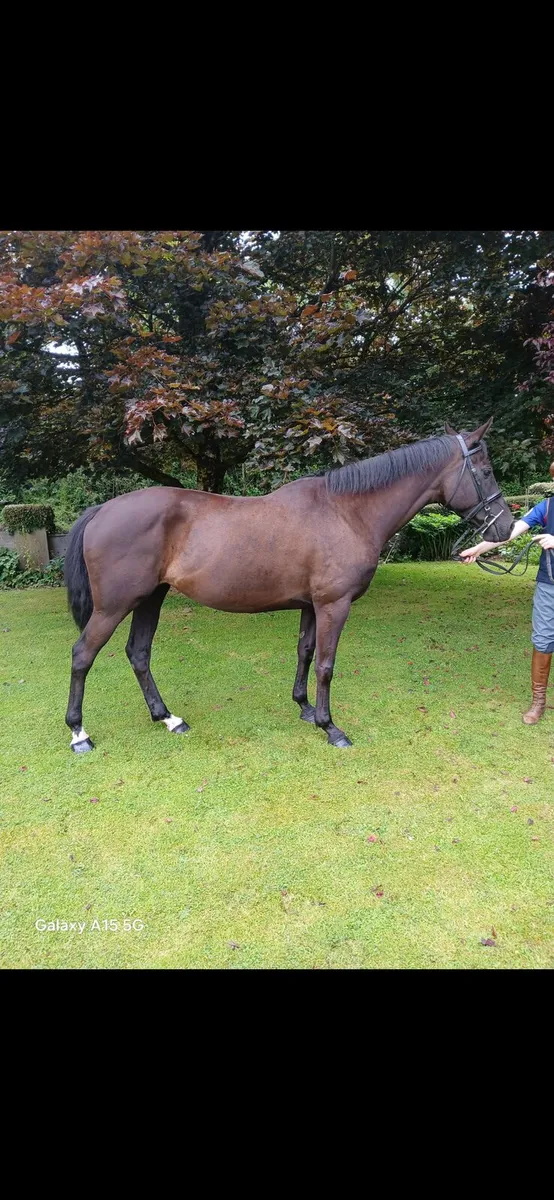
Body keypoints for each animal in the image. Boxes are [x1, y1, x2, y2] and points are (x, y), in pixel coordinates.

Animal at [63, 418, 513, 753]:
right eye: (486, 471)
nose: (506, 528)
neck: (346, 513)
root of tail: (103, 508)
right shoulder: (334, 604)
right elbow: (327, 664)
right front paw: (331, 727)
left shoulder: (311, 605)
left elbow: (305, 653)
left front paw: (306, 709)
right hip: (114, 606)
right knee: (83, 655)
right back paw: (79, 734)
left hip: (150, 598)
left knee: (138, 654)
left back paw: (168, 718)